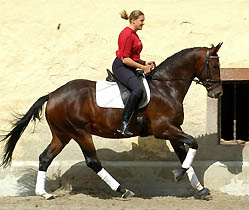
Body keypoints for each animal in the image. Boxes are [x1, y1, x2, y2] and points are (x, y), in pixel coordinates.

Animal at [0, 42, 223, 200]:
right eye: (215, 65)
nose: (218, 92)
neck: (166, 87)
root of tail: (52, 94)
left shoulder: (174, 129)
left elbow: (185, 154)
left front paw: (200, 188)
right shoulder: (164, 129)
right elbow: (193, 143)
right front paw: (178, 174)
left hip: (62, 134)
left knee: (45, 158)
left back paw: (44, 193)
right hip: (80, 132)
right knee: (93, 161)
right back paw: (123, 190)